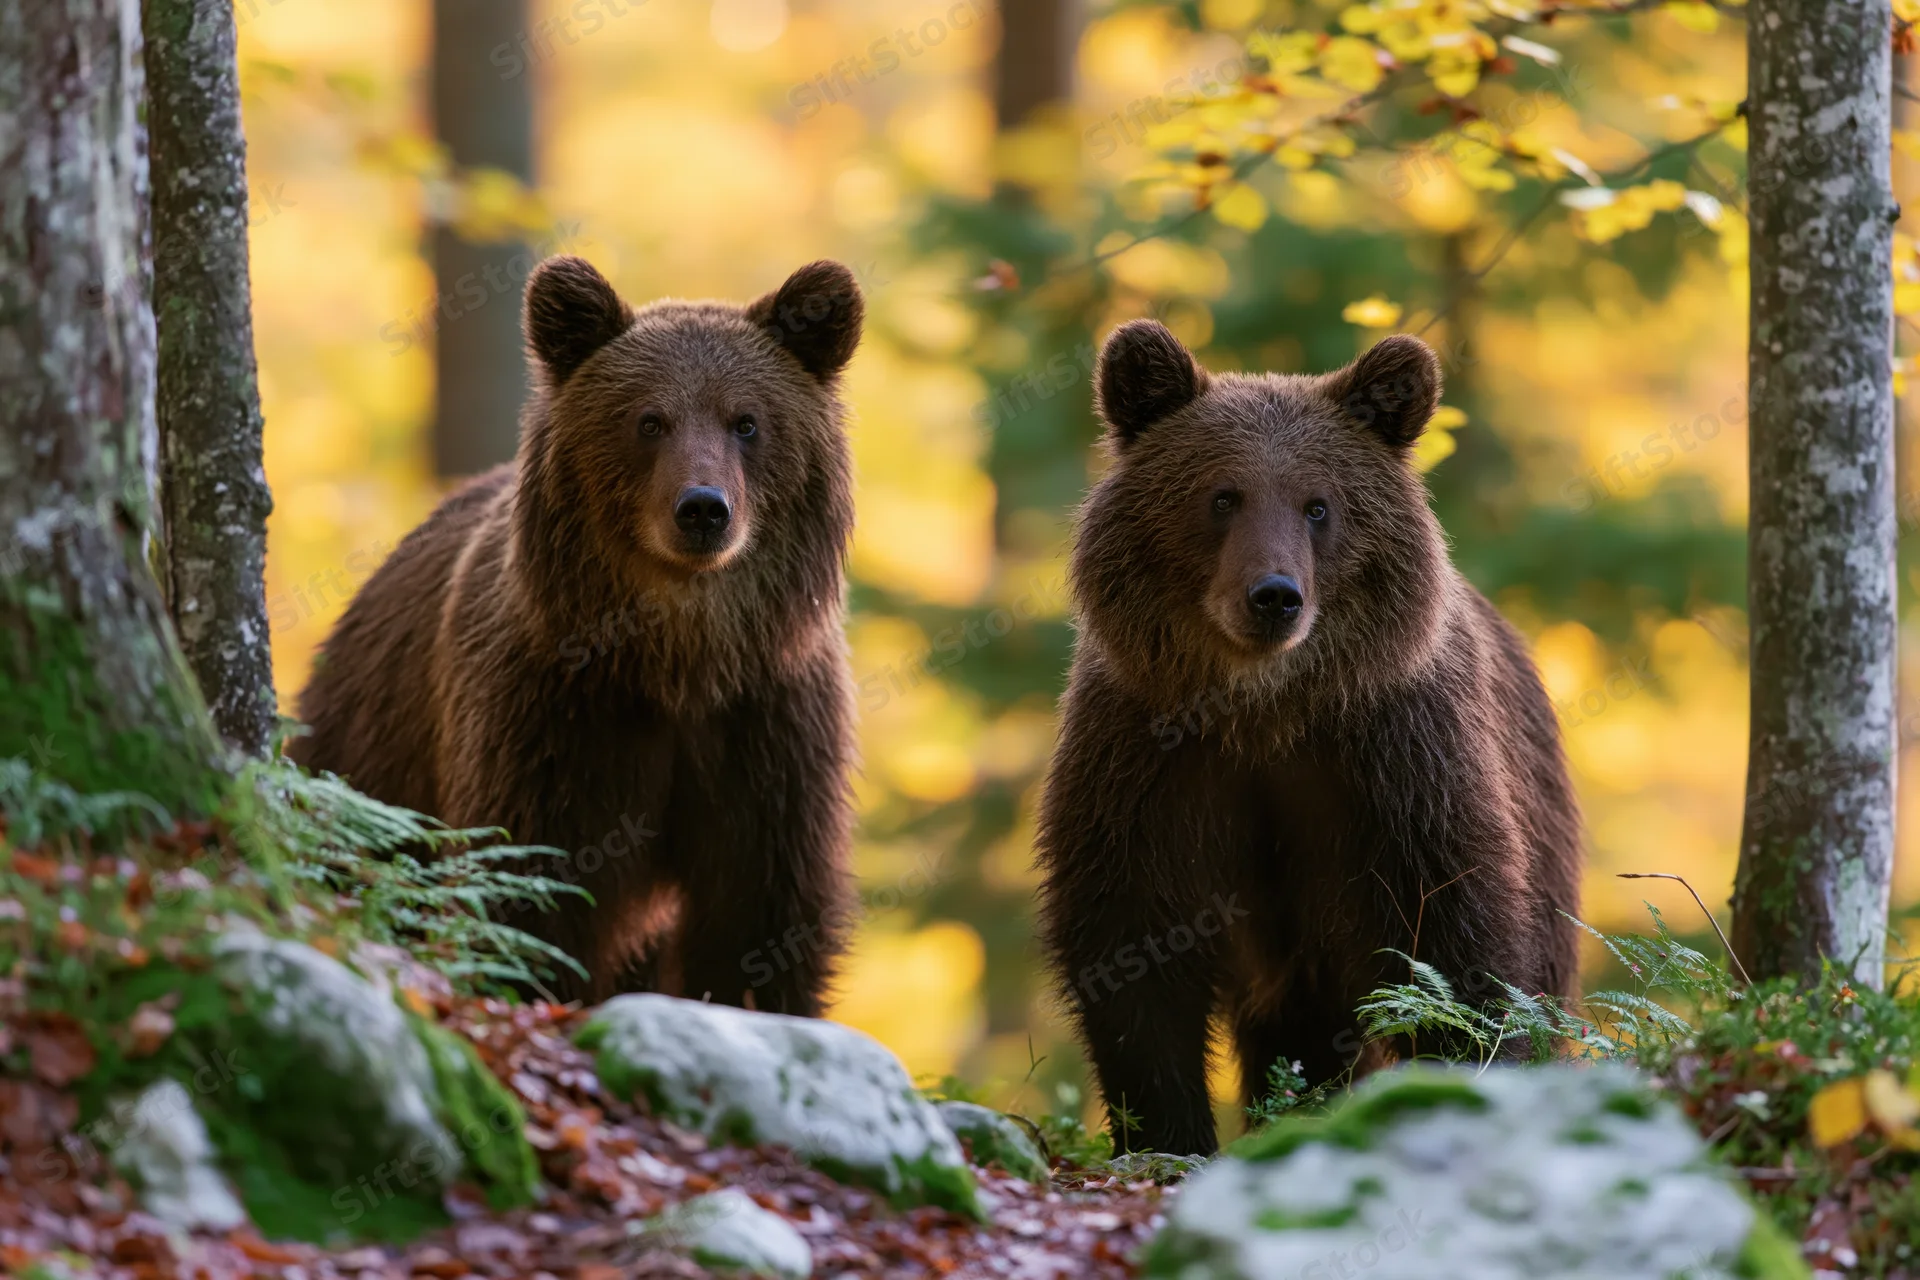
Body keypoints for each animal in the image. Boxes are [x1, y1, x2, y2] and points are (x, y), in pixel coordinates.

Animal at [291, 256, 863, 1012]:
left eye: (747, 421)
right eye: (649, 419)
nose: (703, 509)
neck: (678, 664)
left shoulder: (766, 724)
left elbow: (758, 915)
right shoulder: (554, 719)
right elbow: (533, 889)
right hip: (373, 752)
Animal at [1035, 321, 1581, 1155]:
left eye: (1318, 505)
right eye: (1222, 495)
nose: (1274, 596)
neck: (1266, 712)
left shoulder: (1394, 759)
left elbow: (1453, 936)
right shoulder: (1149, 759)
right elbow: (1131, 941)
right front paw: (1169, 1132)